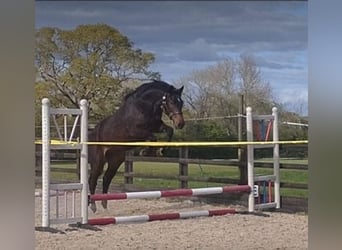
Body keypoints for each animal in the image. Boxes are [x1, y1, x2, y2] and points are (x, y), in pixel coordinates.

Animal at [88, 79, 184, 212]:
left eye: (181, 103)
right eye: (171, 101)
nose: (181, 124)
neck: (144, 107)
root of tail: (91, 134)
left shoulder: (156, 126)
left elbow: (169, 131)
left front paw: (162, 151)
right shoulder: (136, 132)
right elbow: (152, 138)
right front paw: (146, 151)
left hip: (115, 160)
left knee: (107, 178)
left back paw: (104, 203)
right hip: (98, 161)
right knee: (93, 179)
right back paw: (93, 205)